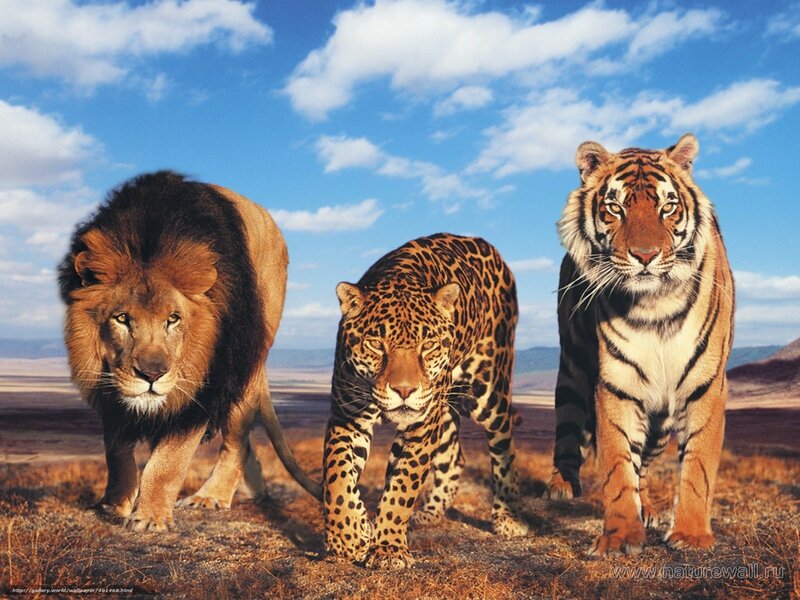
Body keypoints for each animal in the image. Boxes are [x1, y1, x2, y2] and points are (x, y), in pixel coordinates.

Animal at [58, 171, 321, 532]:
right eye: (122, 318)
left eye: (173, 319)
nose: (152, 375)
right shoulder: (111, 384)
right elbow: (117, 452)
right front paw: (115, 504)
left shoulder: (203, 384)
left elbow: (168, 462)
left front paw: (150, 518)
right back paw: (254, 490)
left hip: (250, 359)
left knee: (236, 440)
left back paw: (211, 496)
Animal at [323, 233, 528, 569]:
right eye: (376, 344)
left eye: (428, 344)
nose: (404, 390)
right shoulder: (347, 418)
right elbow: (337, 477)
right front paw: (349, 536)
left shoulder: (421, 427)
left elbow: (403, 485)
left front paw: (388, 549)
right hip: (443, 409)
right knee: (453, 457)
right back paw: (428, 513)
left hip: (488, 391)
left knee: (504, 447)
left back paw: (509, 517)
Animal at [545, 134, 735, 555]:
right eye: (615, 208)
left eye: (668, 207)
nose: (645, 256)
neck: (655, 306)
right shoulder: (617, 384)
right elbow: (618, 465)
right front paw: (620, 537)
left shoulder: (706, 385)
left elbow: (697, 465)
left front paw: (691, 535)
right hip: (572, 369)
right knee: (568, 427)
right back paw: (561, 486)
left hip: (661, 419)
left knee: (645, 463)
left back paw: (646, 507)